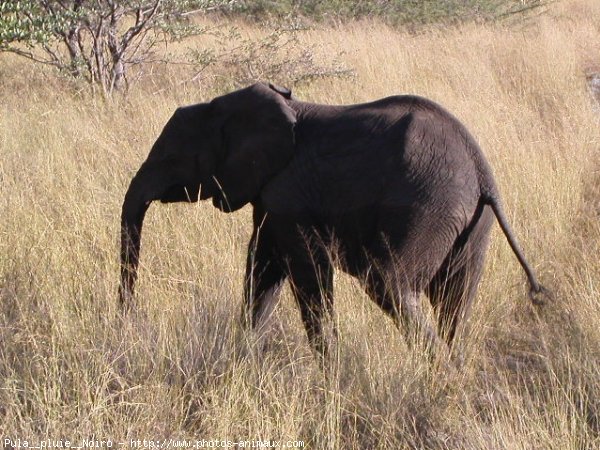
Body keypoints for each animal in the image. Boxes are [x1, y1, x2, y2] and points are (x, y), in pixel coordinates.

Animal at [118, 81, 548, 362]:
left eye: (171, 158)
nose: (129, 319)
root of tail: (481, 171)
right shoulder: (269, 195)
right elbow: (262, 269)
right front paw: (244, 356)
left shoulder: (290, 196)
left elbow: (307, 271)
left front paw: (330, 370)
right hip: (469, 219)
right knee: (453, 298)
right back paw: (452, 370)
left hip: (426, 205)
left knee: (388, 282)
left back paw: (437, 372)